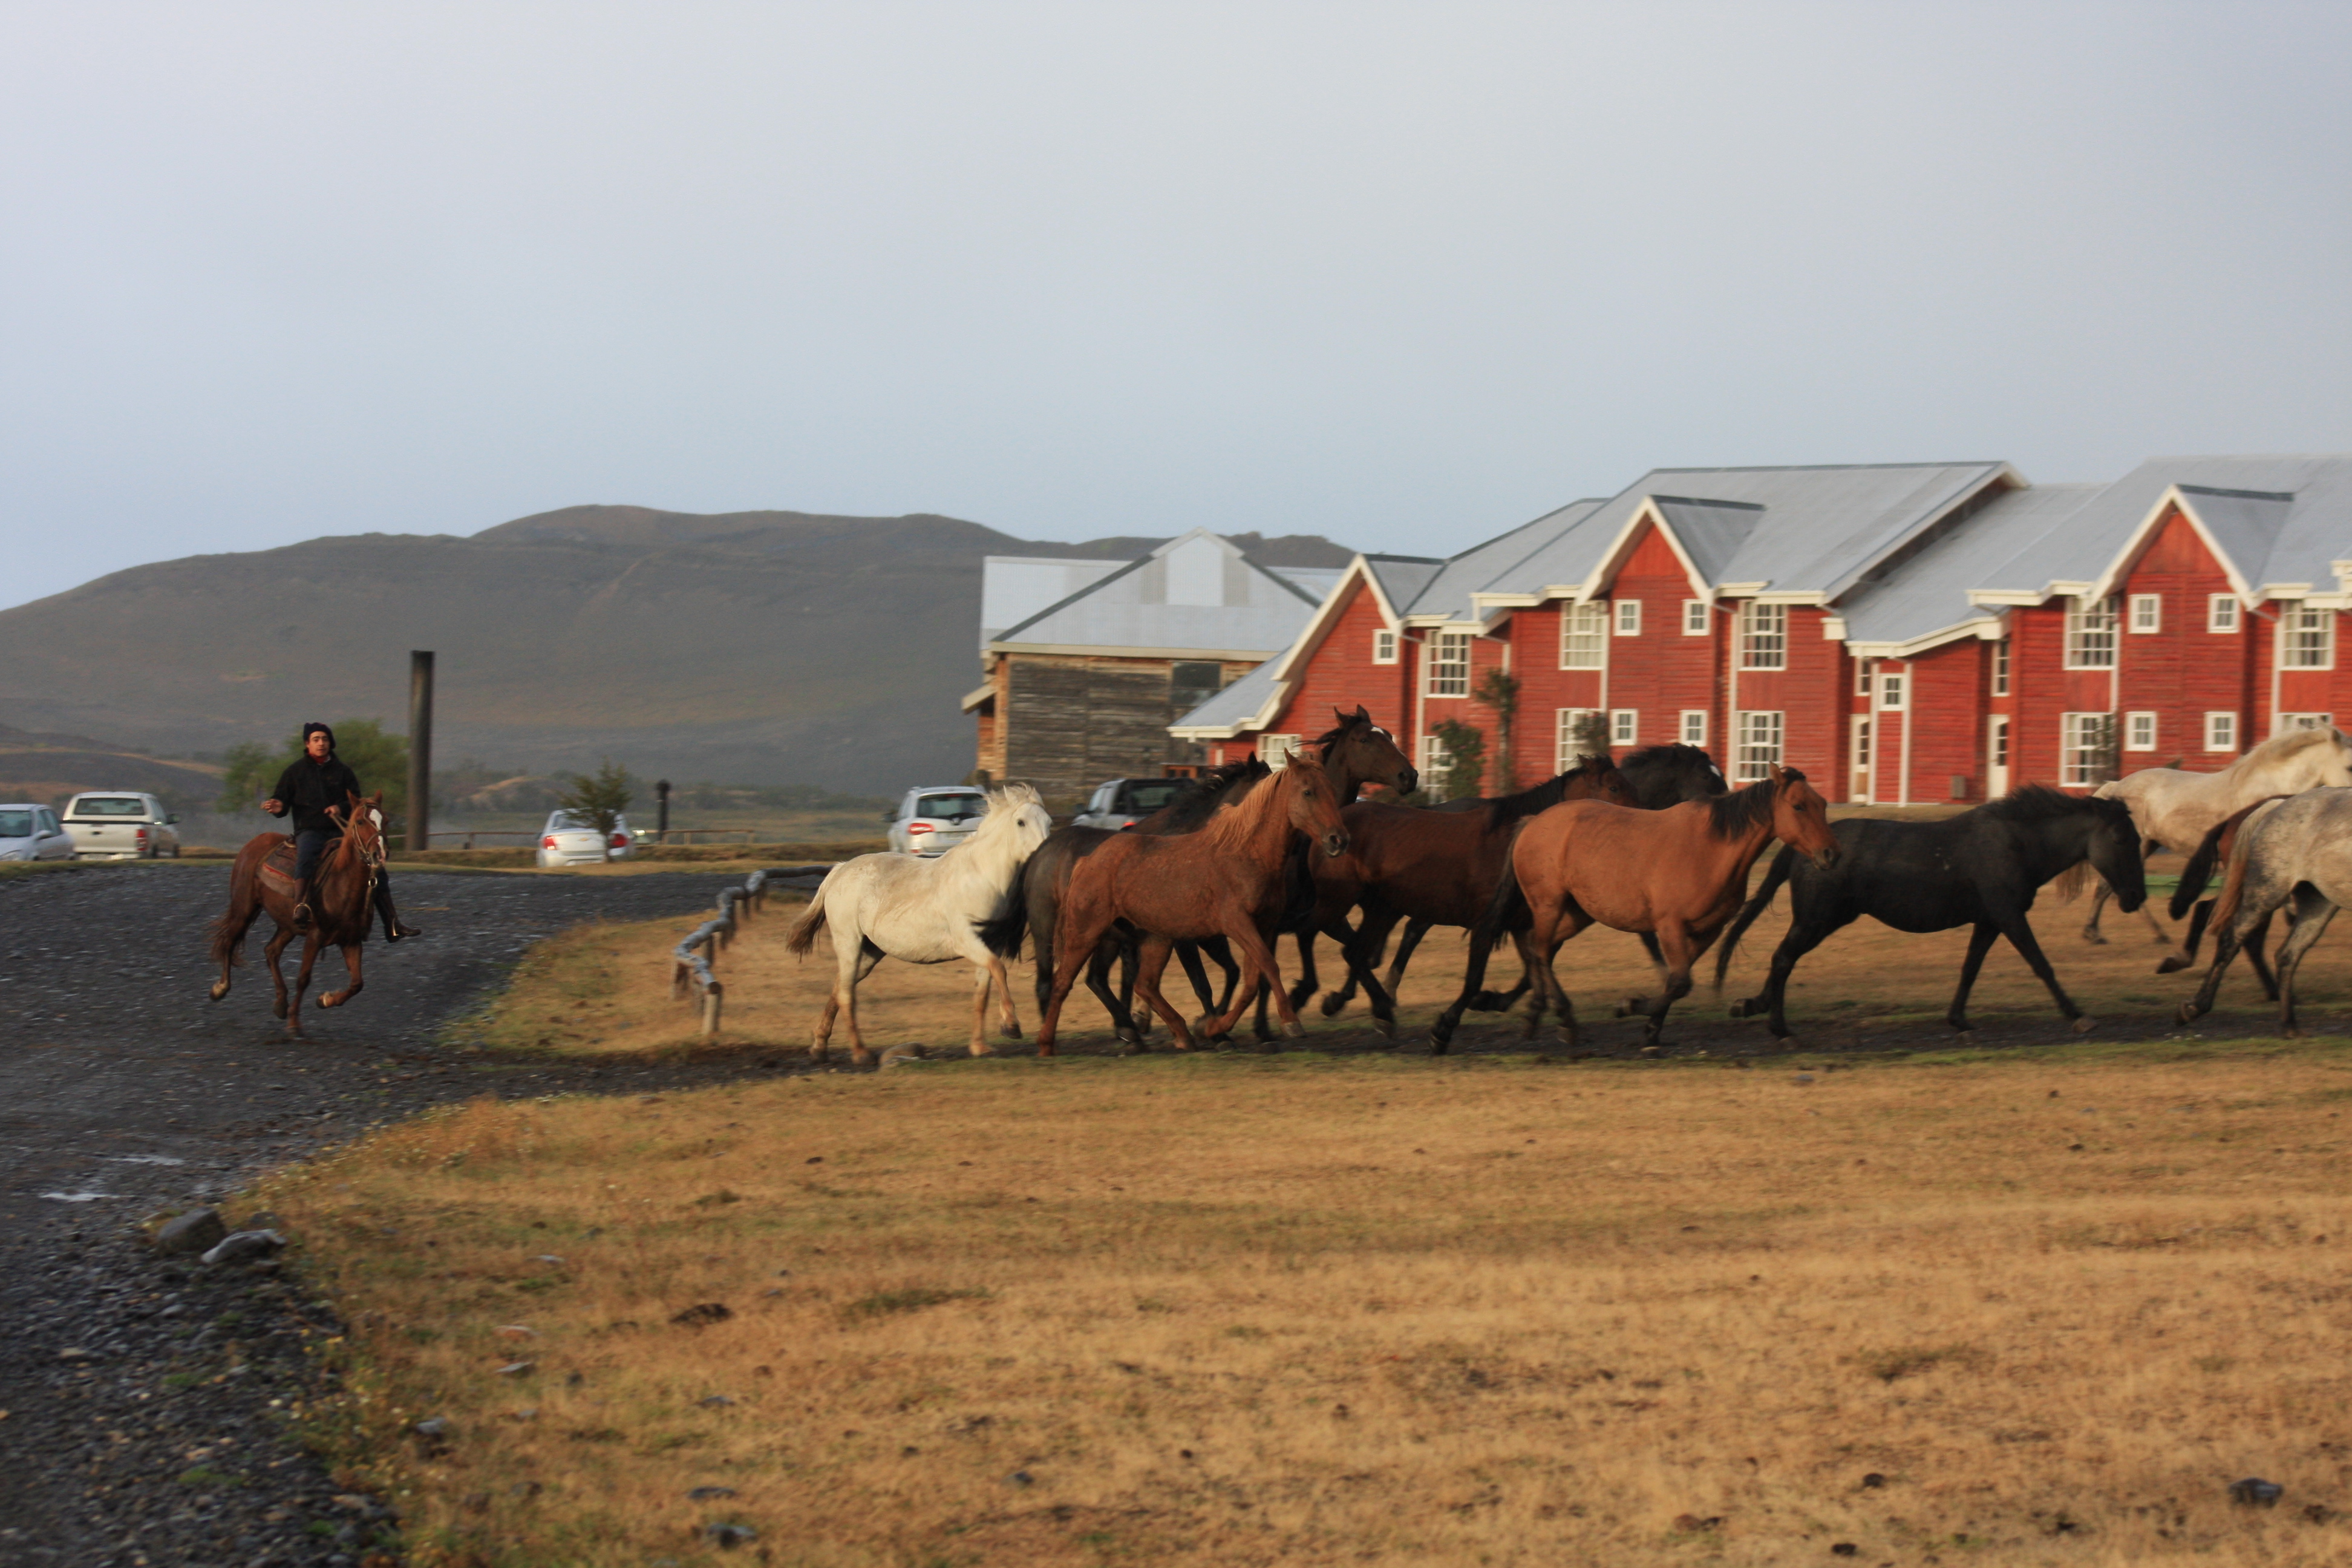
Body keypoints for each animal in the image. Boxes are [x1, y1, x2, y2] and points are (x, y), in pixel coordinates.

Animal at [209, 789, 388, 1034]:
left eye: (384, 821)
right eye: (360, 821)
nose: (379, 855)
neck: (340, 884)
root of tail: (255, 842)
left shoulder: (351, 940)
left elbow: (357, 983)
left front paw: (325, 999)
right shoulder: (314, 937)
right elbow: (304, 978)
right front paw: (295, 1023)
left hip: (288, 924)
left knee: (271, 951)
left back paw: (281, 1003)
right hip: (243, 908)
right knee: (229, 940)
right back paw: (220, 988)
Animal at [785, 785, 1053, 1067]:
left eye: (1049, 822)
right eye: (1021, 822)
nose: (1043, 855)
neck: (981, 878)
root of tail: (839, 870)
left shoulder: (992, 944)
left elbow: (983, 991)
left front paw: (980, 1047)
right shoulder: (967, 940)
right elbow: (999, 970)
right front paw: (1011, 1026)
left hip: (870, 953)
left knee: (839, 987)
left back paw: (819, 1046)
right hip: (849, 942)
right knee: (847, 993)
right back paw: (860, 1053)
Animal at [1039, 747, 1354, 1053]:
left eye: (1330, 789)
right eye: (1308, 792)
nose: (1338, 840)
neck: (1248, 852)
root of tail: (1087, 860)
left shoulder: (1264, 926)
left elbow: (1254, 979)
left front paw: (1212, 1028)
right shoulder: (1237, 924)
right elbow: (1265, 968)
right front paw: (1290, 1023)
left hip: (1156, 938)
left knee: (1145, 985)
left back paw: (1181, 1035)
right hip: (1087, 933)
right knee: (1063, 982)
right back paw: (1047, 1044)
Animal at [1712, 789, 2154, 1048]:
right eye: (2121, 838)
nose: (2137, 896)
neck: (2017, 843)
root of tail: (1804, 848)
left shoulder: (1989, 920)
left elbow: (1970, 969)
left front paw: (1959, 1020)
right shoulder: (2008, 914)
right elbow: (2041, 964)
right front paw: (2079, 1016)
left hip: (1824, 920)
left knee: (1782, 960)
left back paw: (1752, 1006)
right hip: (1818, 919)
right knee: (1783, 959)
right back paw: (1779, 1027)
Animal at [2098, 728, 2352, 969]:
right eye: (2349, 766)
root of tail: (2116, 786)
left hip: (2149, 845)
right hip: (2136, 846)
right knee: (2112, 887)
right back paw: (2099, 934)